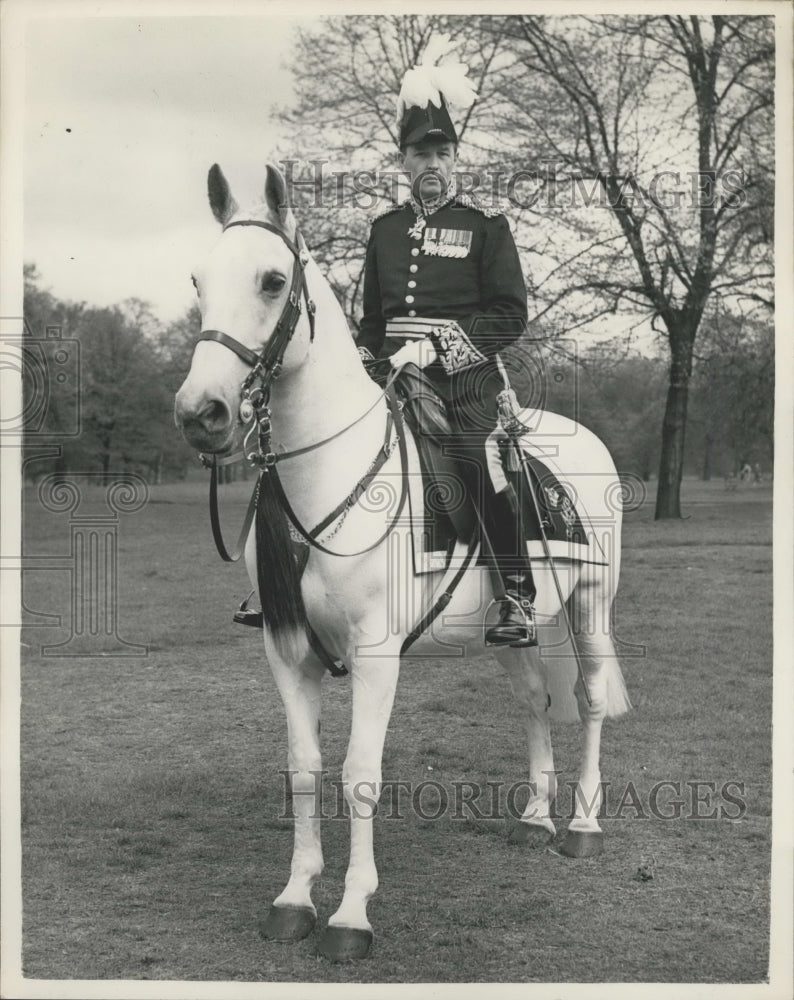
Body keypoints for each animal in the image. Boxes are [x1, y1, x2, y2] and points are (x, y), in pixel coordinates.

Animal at [175, 164, 632, 960]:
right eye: (200, 279)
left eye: (272, 280)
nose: (201, 412)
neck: (328, 471)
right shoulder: (285, 650)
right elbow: (303, 767)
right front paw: (295, 897)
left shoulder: (376, 652)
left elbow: (359, 772)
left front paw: (352, 913)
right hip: (517, 626)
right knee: (536, 700)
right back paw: (537, 818)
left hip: (590, 606)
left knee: (592, 699)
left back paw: (580, 826)